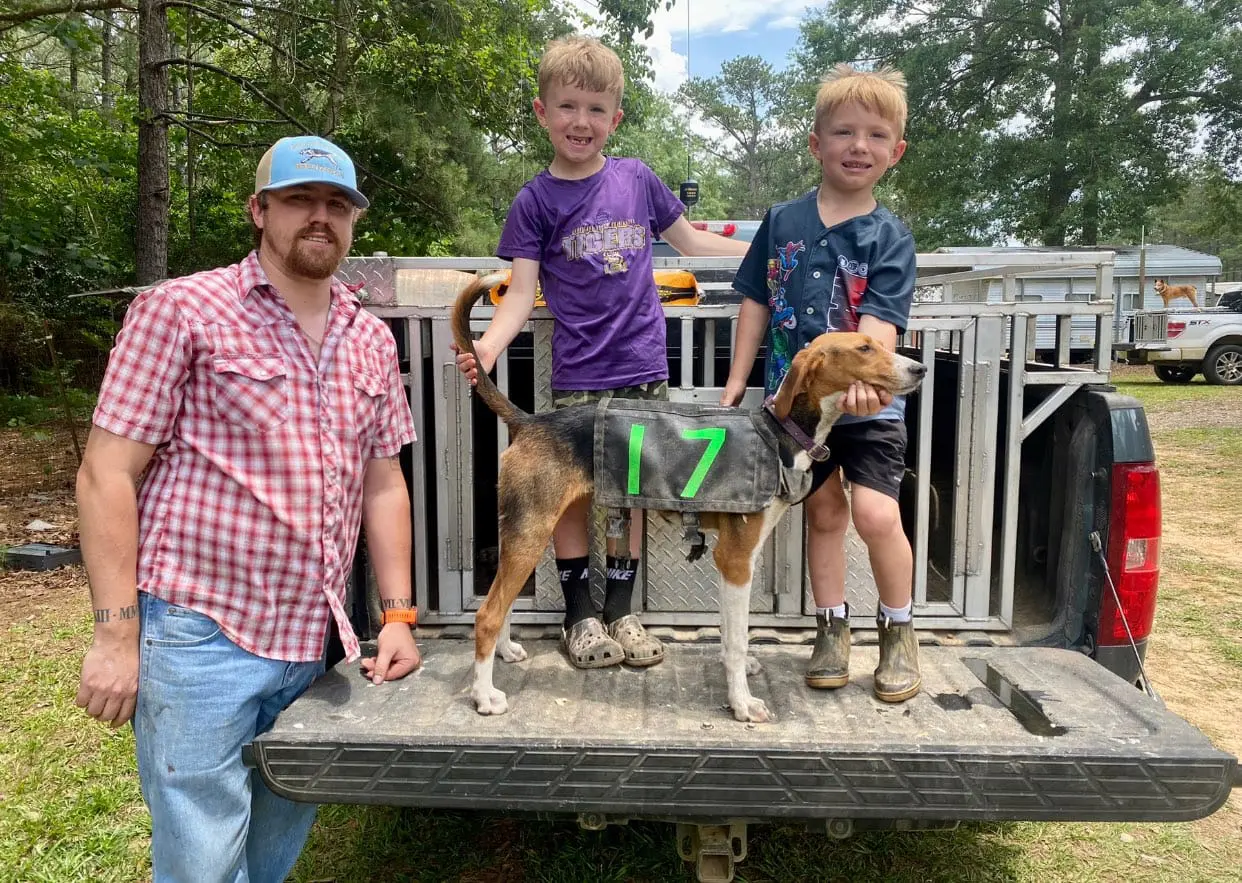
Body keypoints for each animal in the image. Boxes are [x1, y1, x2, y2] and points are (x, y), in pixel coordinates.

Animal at [452, 275, 929, 725]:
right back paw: (484, 696)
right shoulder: (736, 559)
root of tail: (532, 422)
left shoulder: (735, 561)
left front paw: (737, 675)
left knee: (501, 602)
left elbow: (731, 631)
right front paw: (742, 703)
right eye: (864, 347)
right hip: (531, 531)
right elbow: (736, 639)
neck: (779, 432)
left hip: (524, 533)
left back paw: (506, 652)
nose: (920, 368)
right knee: (486, 614)